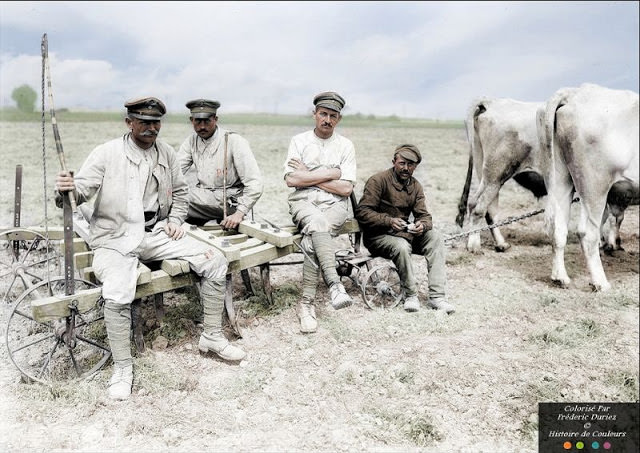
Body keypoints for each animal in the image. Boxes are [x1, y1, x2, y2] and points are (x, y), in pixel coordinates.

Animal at [456, 97, 544, 252]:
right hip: (496, 176)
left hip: (486, 175)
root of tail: (488, 102)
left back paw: (500, 244)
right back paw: (474, 246)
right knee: (479, 208)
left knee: (480, 206)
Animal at [536, 83, 636, 292]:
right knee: (587, 233)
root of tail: (573, 92)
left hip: (560, 178)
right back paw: (600, 283)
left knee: (558, 227)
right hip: (595, 185)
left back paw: (560, 277)